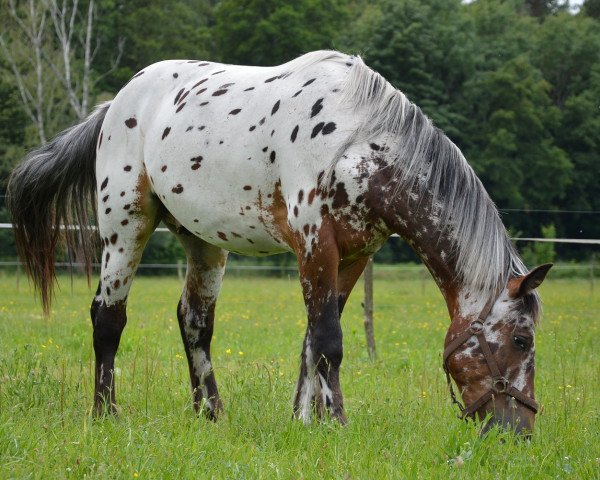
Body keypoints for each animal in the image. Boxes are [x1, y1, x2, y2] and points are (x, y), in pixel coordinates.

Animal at [8, 50, 548, 434]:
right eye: (521, 340)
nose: (517, 432)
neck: (355, 141)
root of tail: (116, 103)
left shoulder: (353, 256)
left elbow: (312, 341)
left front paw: (304, 421)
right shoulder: (315, 246)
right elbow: (329, 340)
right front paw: (336, 424)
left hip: (204, 242)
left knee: (194, 322)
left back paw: (211, 415)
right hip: (125, 226)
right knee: (108, 318)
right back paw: (105, 414)